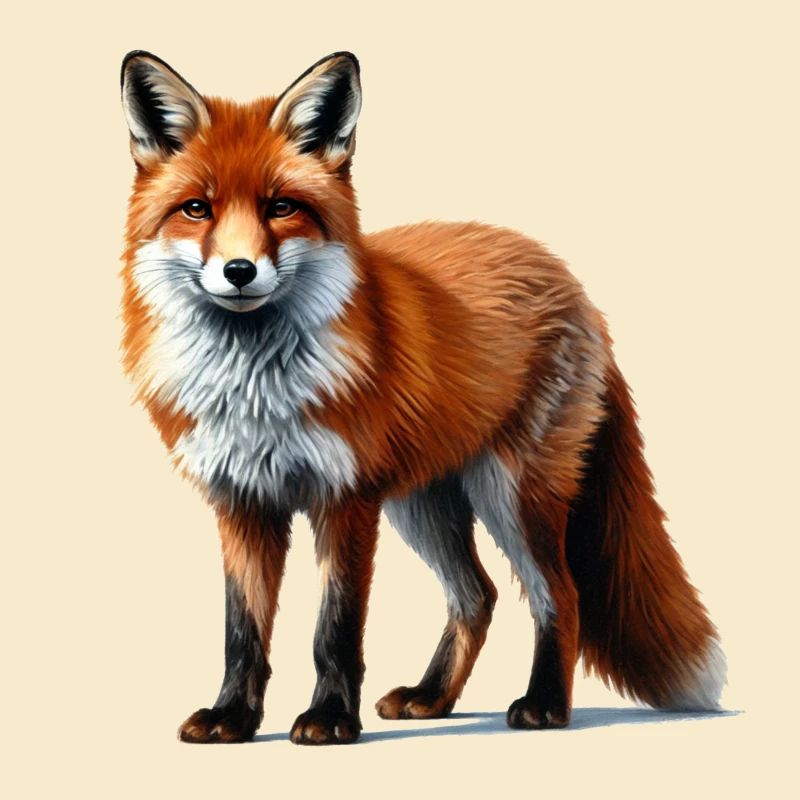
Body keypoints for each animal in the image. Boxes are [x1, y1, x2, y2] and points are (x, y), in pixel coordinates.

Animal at [119, 50, 726, 744]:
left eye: (281, 207)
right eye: (197, 209)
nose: (239, 271)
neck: (256, 386)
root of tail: (568, 279)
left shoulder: (346, 499)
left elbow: (335, 629)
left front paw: (331, 718)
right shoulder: (242, 501)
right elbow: (241, 632)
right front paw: (234, 718)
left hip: (512, 494)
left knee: (559, 594)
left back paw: (544, 704)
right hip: (424, 504)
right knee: (478, 596)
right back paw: (433, 698)